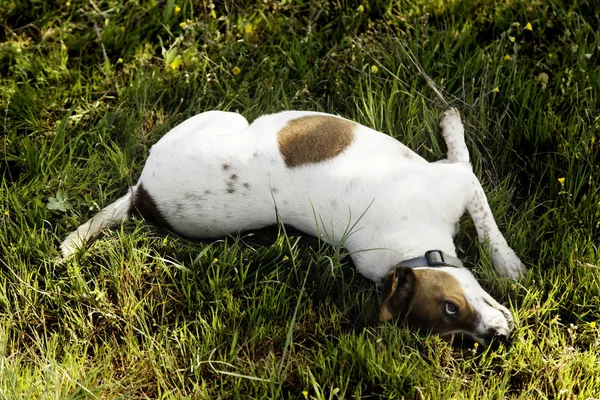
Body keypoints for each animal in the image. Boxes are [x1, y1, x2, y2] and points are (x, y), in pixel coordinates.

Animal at [61, 108, 528, 346]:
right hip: (223, 117)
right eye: (451, 313)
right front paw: (510, 266)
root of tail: (142, 199)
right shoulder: (461, 179)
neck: (410, 251)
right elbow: (476, 192)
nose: (499, 337)